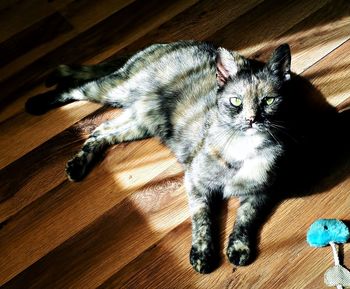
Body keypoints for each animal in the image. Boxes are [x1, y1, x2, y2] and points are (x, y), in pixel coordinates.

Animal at [26, 40, 296, 272]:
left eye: (268, 101)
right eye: (236, 101)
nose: (252, 120)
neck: (244, 146)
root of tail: (168, 43)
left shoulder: (261, 191)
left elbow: (246, 218)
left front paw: (239, 246)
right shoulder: (196, 182)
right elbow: (202, 218)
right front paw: (202, 253)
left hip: (141, 123)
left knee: (99, 131)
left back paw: (78, 165)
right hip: (114, 90)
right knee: (76, 90)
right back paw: (37, 104)